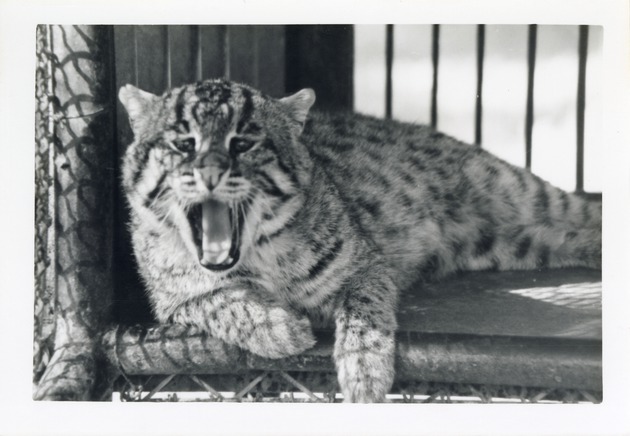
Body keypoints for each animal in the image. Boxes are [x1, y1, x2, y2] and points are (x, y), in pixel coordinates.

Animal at [118, 78, 604, 402]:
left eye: (244, 142)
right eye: (183, 143)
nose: (210, 173)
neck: (254, 255)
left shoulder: (366, 263)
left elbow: (363, 311)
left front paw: (364, 371)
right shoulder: (169, 301)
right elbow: (218, 302)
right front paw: (279, 329)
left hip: (515, 187)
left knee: (584, 213)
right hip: (509, 244)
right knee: (560, 236)